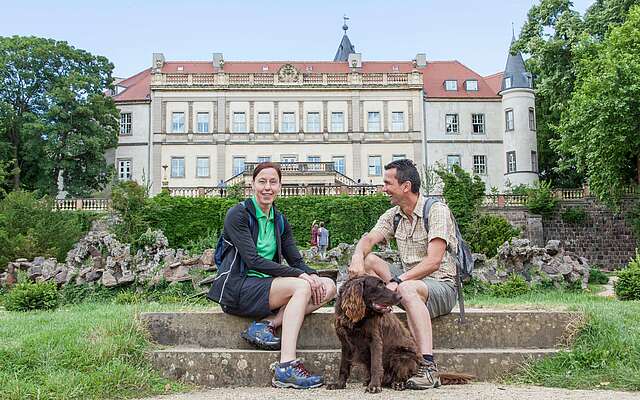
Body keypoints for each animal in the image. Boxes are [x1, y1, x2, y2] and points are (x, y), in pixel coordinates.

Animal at [328, 276, 472, 392]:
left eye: (384, 284)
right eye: (379, 285)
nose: (400, 297)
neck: (358, 318)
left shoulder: (375, 340)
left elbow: (376, 365)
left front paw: (374, 386)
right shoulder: (345, 343)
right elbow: (343, 367)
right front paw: (339, 384)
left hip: (400, 356)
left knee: (404, 376)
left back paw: (398, 384)